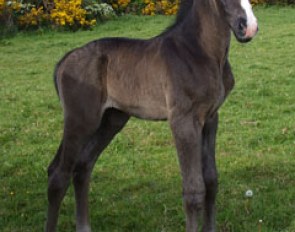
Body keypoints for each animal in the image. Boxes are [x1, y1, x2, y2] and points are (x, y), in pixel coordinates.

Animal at [45, 0, 258, 231]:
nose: (248, 27)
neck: (198, 51)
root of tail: (63, 61)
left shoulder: (210, 118)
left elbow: (210, 181)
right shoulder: (183, 120)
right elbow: (193, 190)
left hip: (111, 120)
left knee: (83, 166)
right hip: (81, 120)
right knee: (58, 175)